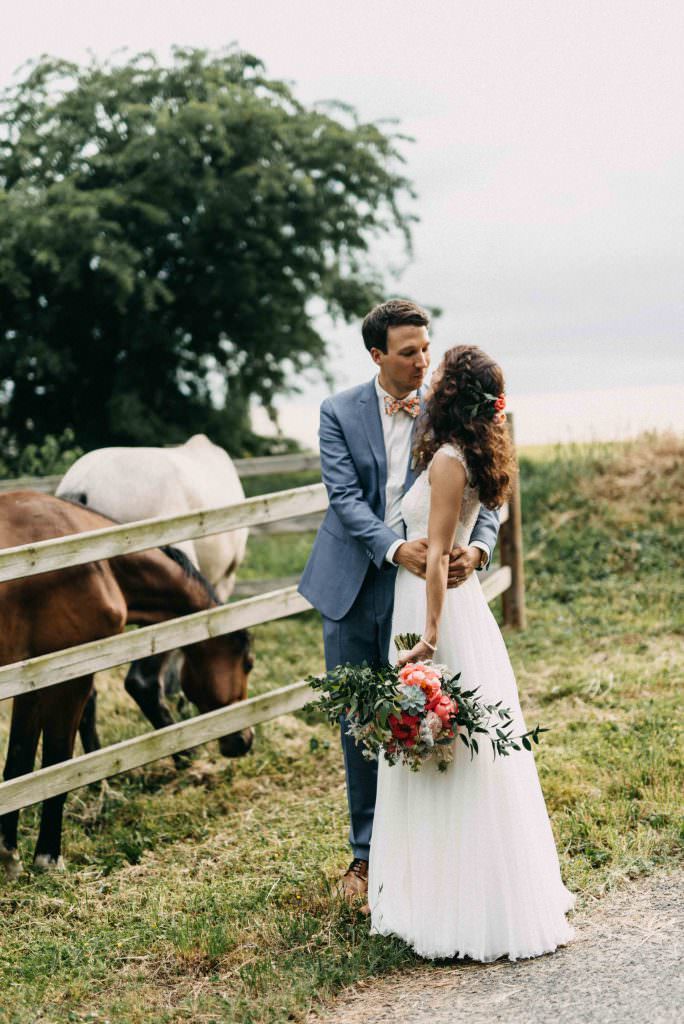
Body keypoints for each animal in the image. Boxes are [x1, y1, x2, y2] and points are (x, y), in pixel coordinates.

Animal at [0, 491, 253, 876]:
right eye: (248, 664)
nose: (244, 740)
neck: (94, 561)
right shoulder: (68, 680)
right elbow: (57, 763)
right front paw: (48, 857)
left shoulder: (30, 682)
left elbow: (19, 762)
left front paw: (9, 854)